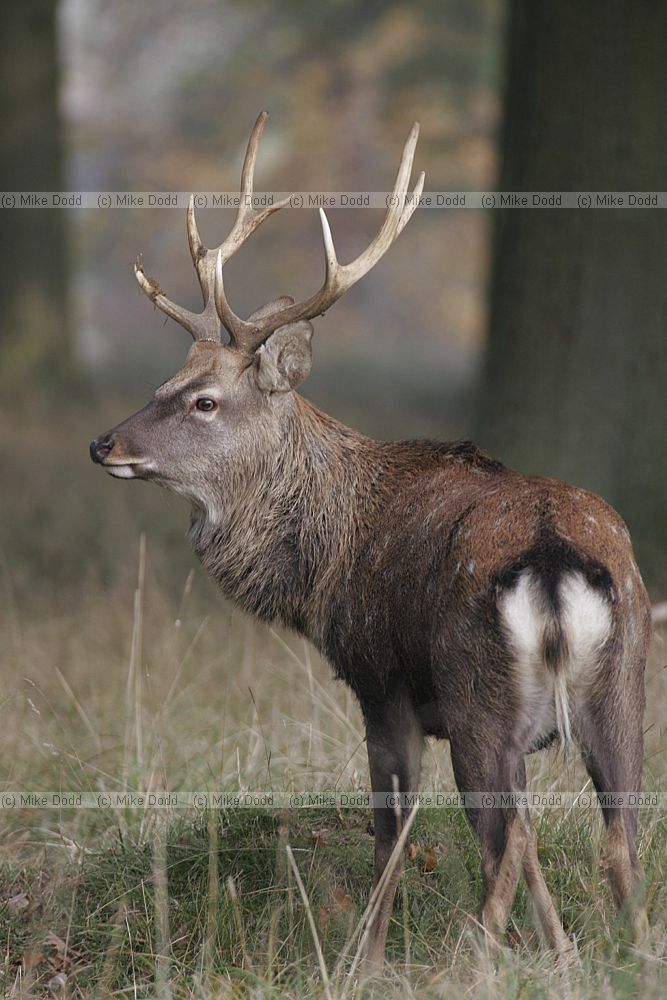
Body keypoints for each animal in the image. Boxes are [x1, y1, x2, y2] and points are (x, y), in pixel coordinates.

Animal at [90, 112, 650, 968]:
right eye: (163, 384)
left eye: (204, 401)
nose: (104, 444)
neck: (325, 564)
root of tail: (553, 553)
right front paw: (561, 956)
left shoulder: (376, 681)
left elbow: (389, 832)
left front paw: (367, 957)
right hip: (622, 689)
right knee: (615, 835)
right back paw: (621, 957)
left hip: (478, 690)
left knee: (505, 837)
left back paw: (474, 962)